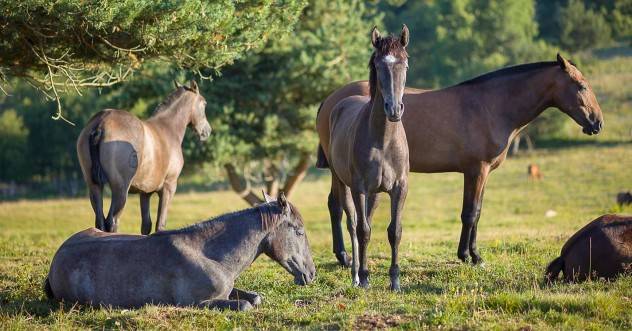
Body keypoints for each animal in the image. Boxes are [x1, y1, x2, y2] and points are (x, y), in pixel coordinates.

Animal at [43, 193, 314, 312]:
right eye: (299, 231)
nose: (311, 273)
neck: (210, 255)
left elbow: (254, 297)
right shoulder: (197, 302)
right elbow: (246, 305)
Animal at [77, 81, 211, 235]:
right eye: (204, 103)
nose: (207, 131)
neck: (168, 128)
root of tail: (101, 123)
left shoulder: (145, 193)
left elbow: (146, 225)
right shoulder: (169, 187)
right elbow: (160, 224)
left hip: (94, 186)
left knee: (100, 221)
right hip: (120, 189)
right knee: (112, 221)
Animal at [326, 26, 410, 290]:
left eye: (405, 63)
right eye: (379, 65)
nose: (394, 109)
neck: (383, 140)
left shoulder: (399, 188)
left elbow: (394, 231)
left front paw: (395, 281)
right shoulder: (359, 188)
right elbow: (362, 230)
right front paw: (364, 277)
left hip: (376, 193)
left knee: (368, 221)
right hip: (341, 182)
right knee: (352, 223)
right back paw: (355, 274)